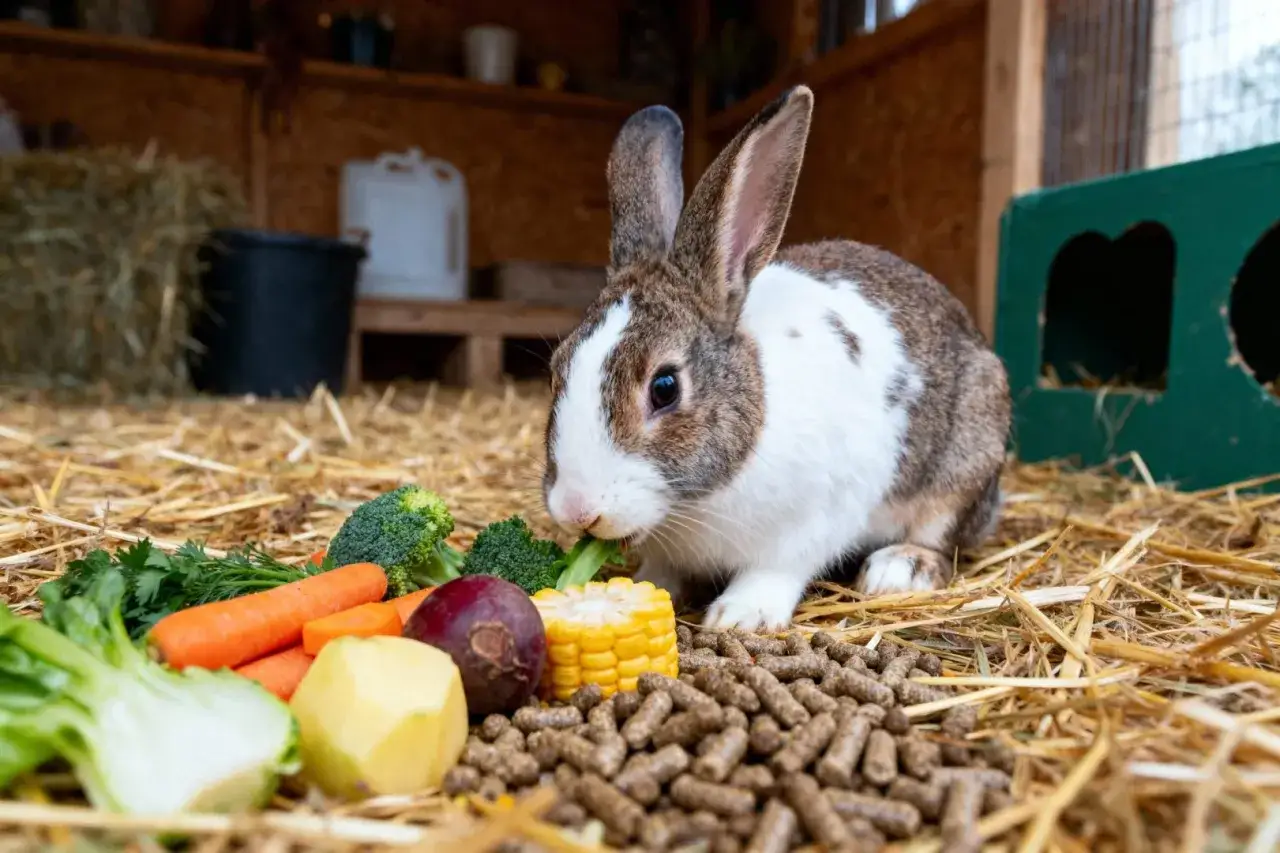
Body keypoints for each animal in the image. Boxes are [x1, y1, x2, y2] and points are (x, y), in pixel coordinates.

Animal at [540, 84, 1012, 632]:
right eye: (555, 372)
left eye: (664, 388)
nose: (577, 509)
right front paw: (647, 590)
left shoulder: (813, 520)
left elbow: (777, 569)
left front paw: (739, 617)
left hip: (966, 459)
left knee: (944, 540)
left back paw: (899, 568)